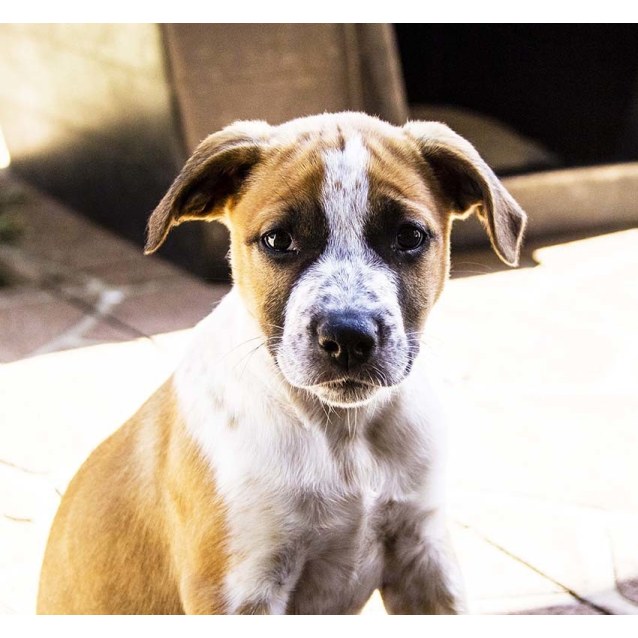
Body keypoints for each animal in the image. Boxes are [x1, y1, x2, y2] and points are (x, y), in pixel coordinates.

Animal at [35, 112, 528, 616]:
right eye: (278, 240)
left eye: (409, 237)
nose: (348, 337)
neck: (343, 436)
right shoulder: (240, 589)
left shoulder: (423, 553)